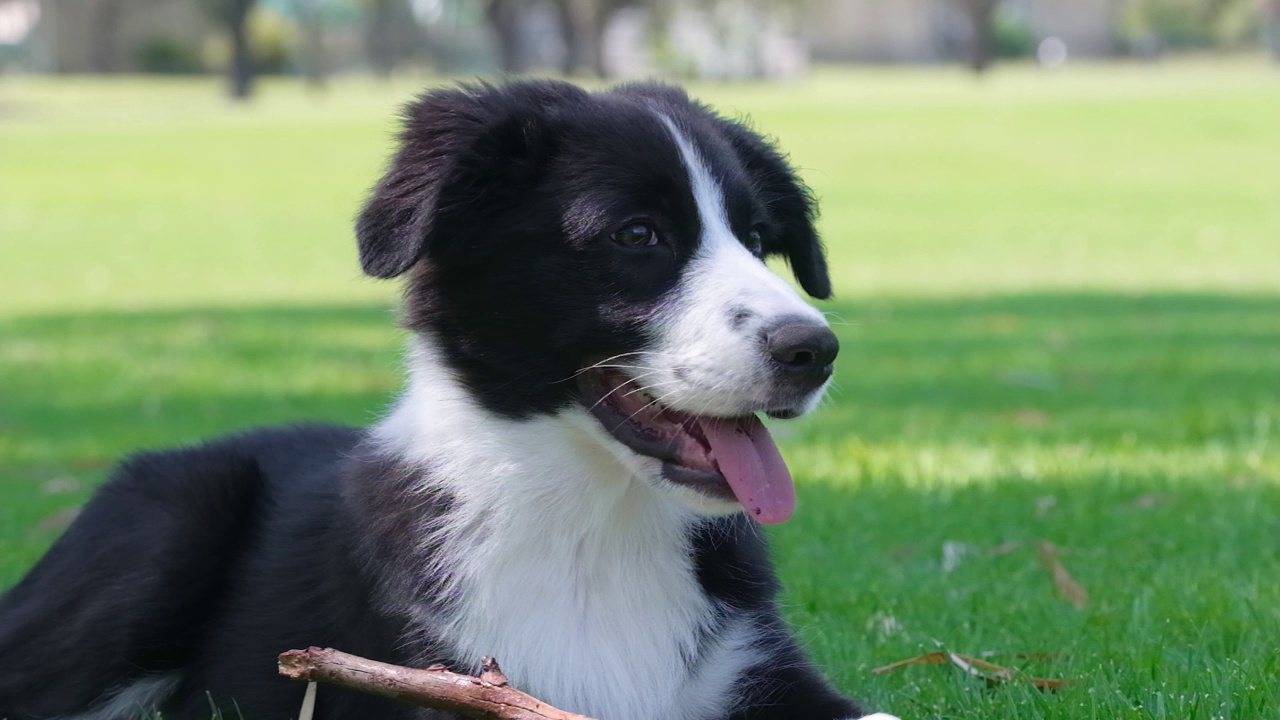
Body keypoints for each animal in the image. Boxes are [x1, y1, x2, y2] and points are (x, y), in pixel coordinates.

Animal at [0, 78, 901, 717]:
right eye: (637, 234)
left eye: (757, 240)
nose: (812, 351)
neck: (593, 526)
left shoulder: (756, 669)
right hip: (168, 515)